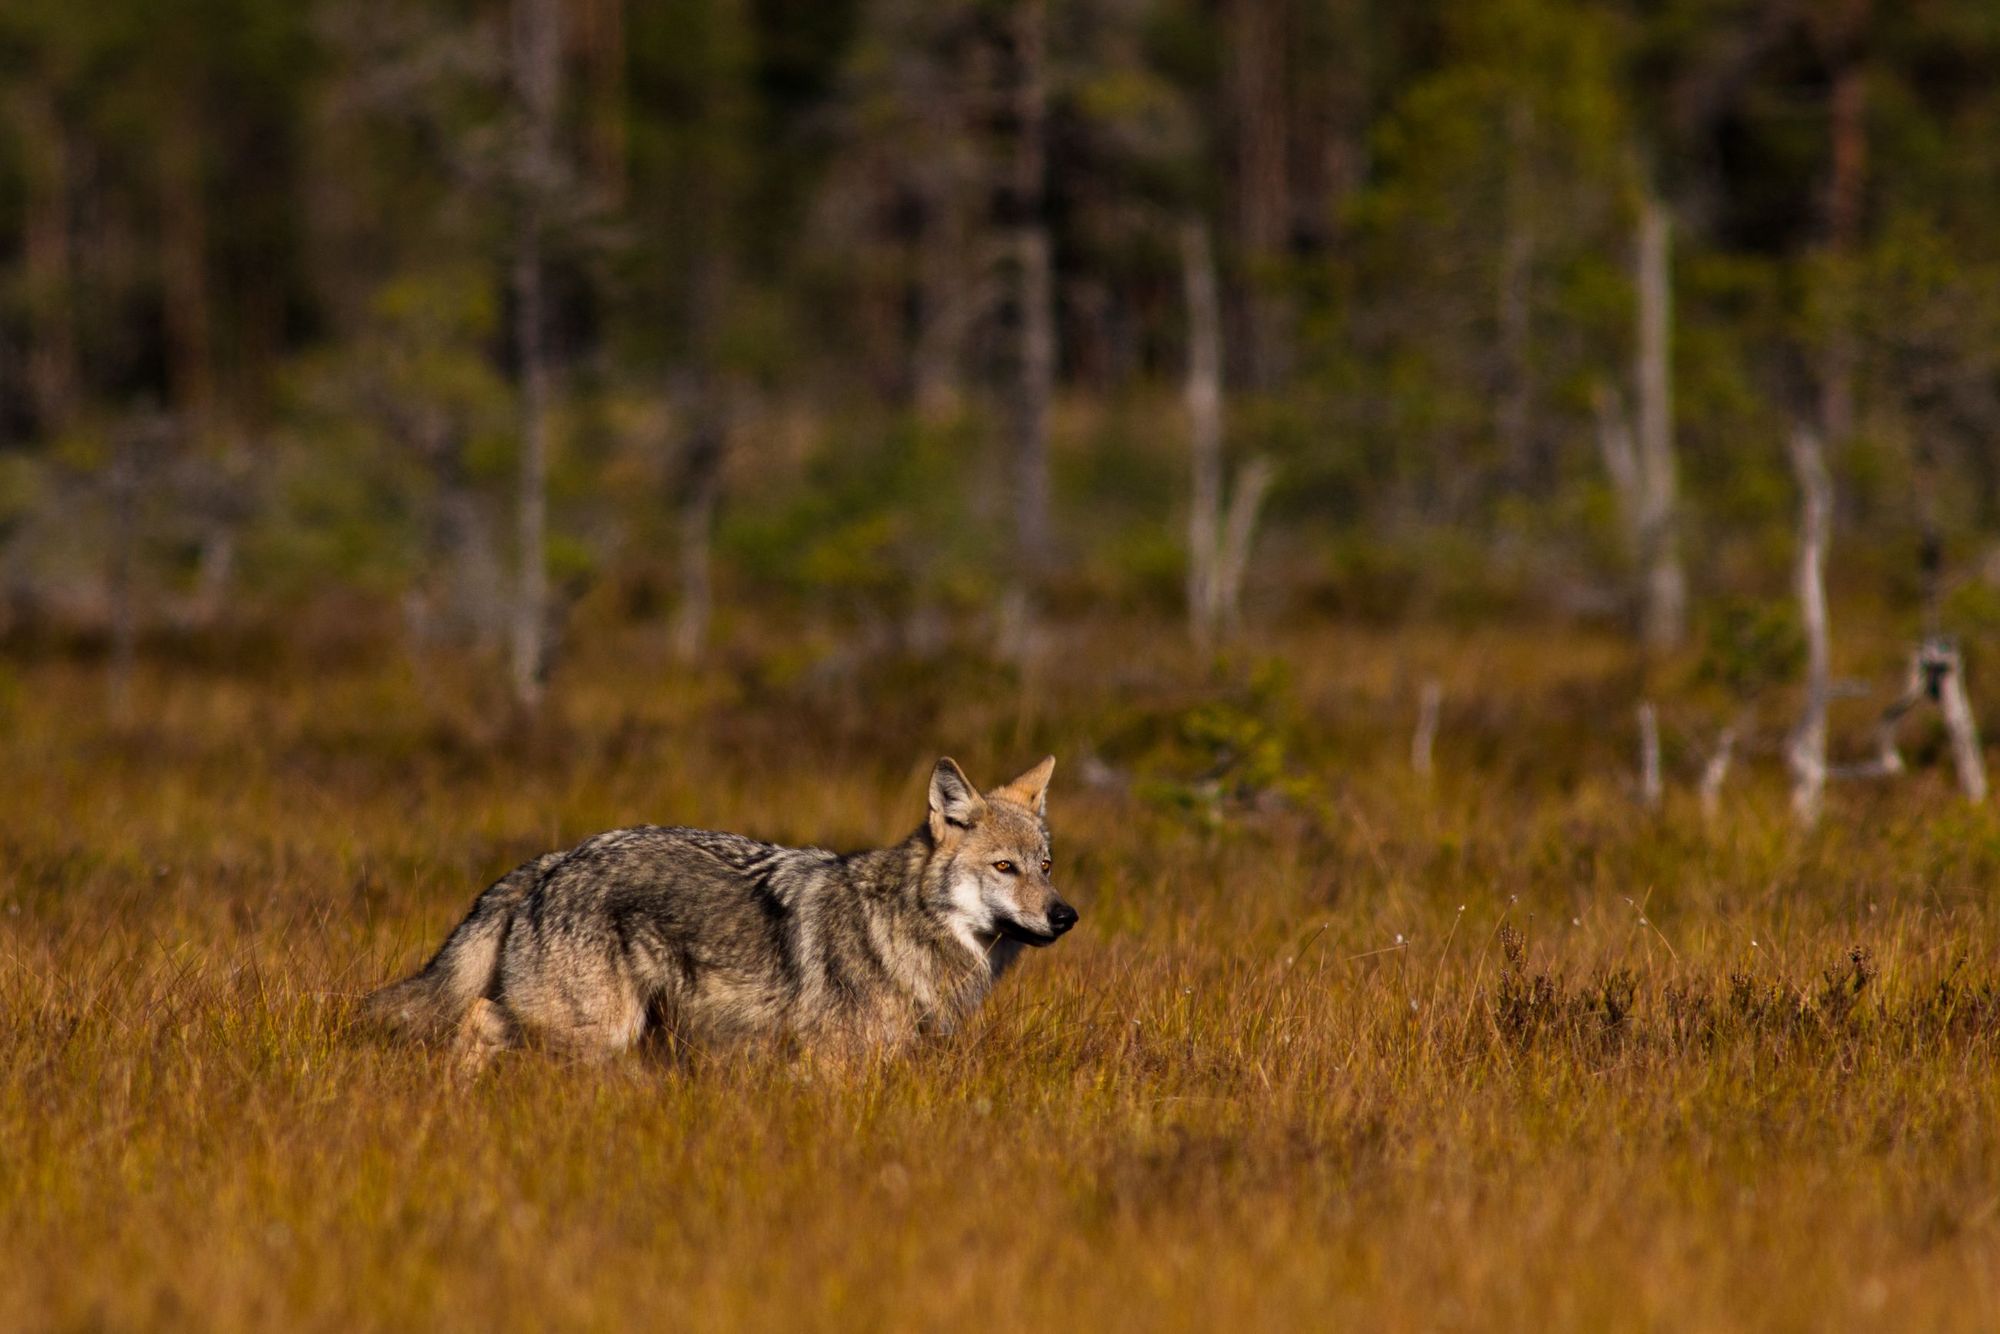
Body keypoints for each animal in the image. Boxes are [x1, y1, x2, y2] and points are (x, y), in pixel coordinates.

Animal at [360, 756, 1080, 1072]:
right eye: (1004, 868)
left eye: (1045, 865)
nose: (1065, 916)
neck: (900, 927)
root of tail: (554, 861)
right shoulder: (829, 1066)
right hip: (595, 1029)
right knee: (477, 1019)